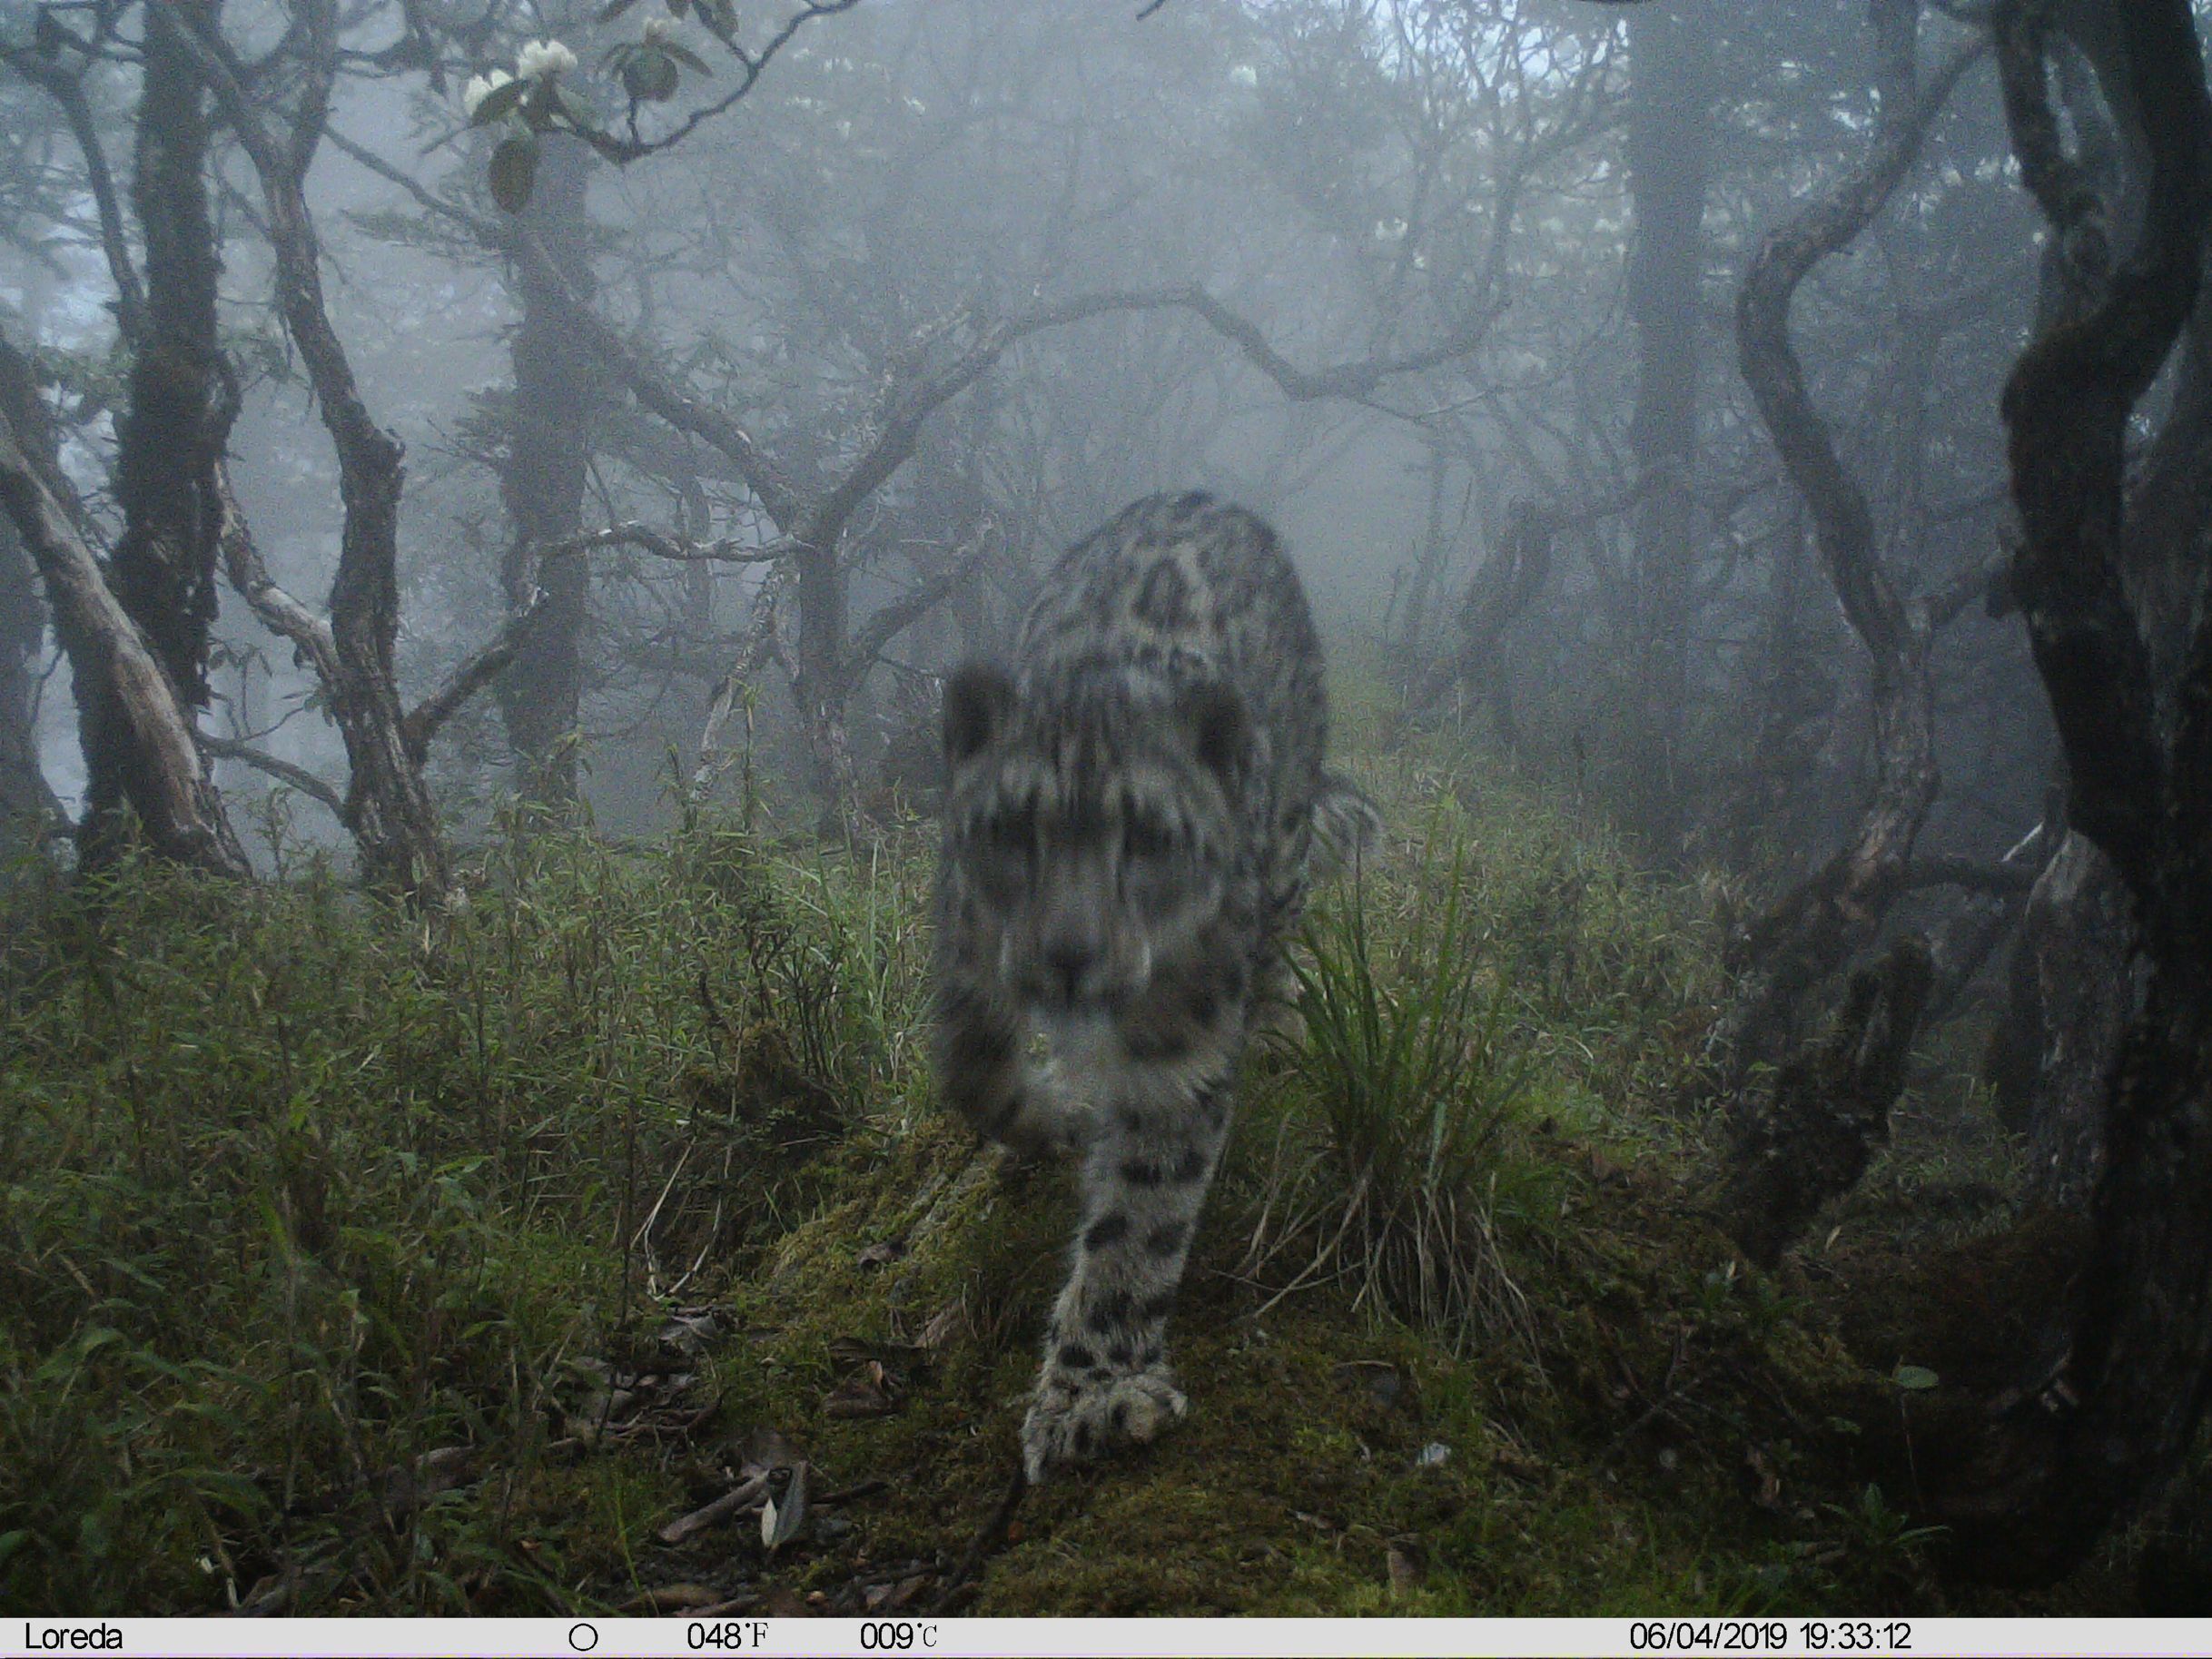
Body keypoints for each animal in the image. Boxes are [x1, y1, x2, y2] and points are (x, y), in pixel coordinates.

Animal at [932, 490, 1377, 1483]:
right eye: (1012, 830)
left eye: (1149, 838)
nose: (1068, 952)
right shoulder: (968, 945)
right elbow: (974, 1071)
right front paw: (1053, 1114)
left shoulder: (1185, 1032)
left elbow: (1143, 1213)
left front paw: (1092, 1397)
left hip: (1285, 853)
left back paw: (1278, 1028)